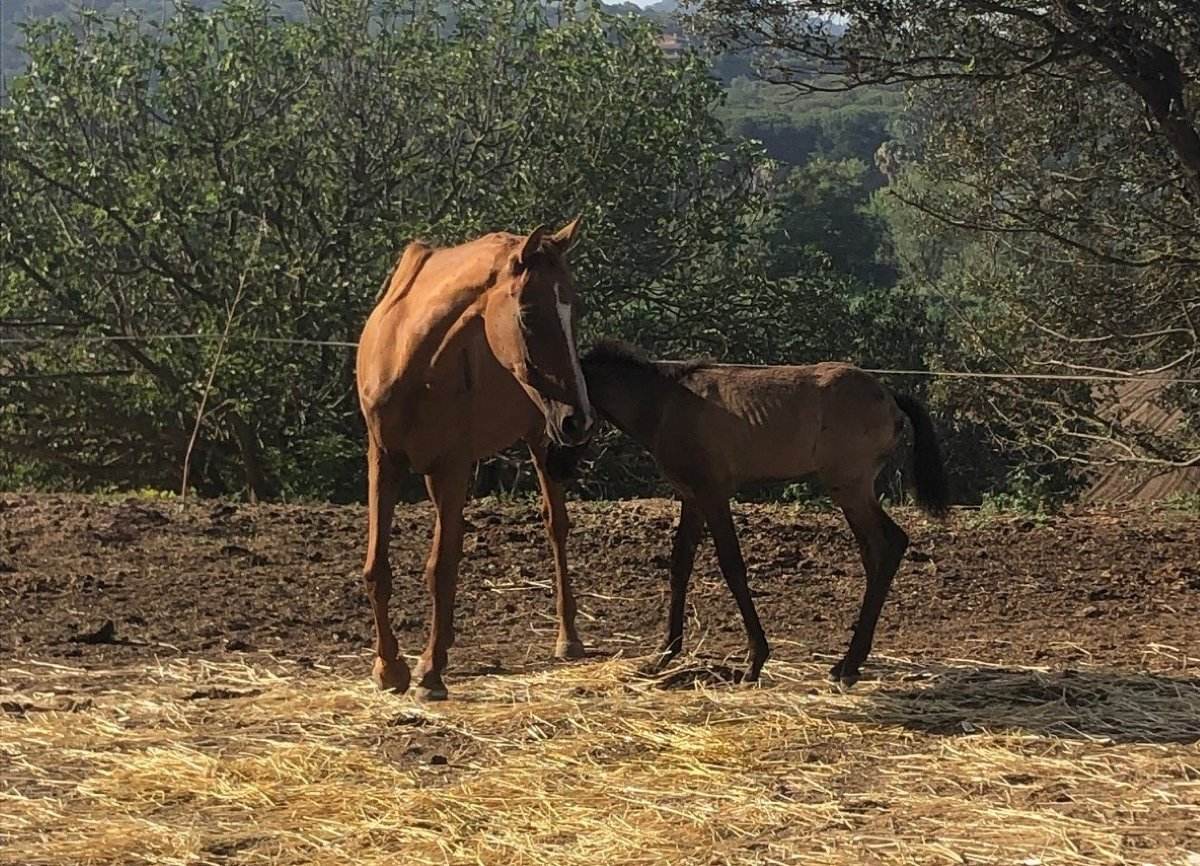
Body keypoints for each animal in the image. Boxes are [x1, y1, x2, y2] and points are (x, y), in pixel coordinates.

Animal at [357, 219, 597, 700]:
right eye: (528, 314)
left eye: (575, 310)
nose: (579, 419)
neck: (410, 353)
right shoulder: (384, 458)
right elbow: (378, 567)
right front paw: (390, 668)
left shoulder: (452, 465)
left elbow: (441, 568)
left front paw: (430, 674)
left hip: (541, 439)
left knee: (555, 525)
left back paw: (567, 637)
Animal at [561, 340, 945, 686]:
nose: (564, 442)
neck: (666, 403)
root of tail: (888, 396)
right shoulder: (692, 498)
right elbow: (680, 565)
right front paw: (664, 653)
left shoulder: (713, 495)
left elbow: (732, 566)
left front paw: (755, 661)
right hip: (854, 492)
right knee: (876, 553)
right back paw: (849, 662)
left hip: (850, 489)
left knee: (888, 545)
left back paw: (848, 664)